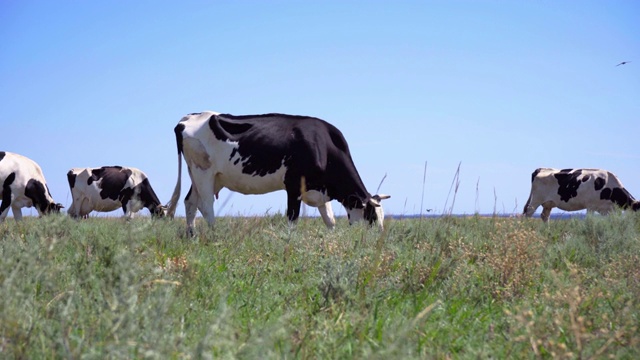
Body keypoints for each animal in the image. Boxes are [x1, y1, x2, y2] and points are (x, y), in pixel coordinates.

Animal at [166, 110, 390, 233]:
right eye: (372, 217)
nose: (376, 241)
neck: (324, 146)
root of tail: (189, 117)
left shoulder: (319, 191)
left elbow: (330, 221)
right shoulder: (294, 186)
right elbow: (292, 219)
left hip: (206, 176)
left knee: (190, 202)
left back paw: (192, 236)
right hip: (203, 172)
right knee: (206, 206)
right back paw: (213, 236)